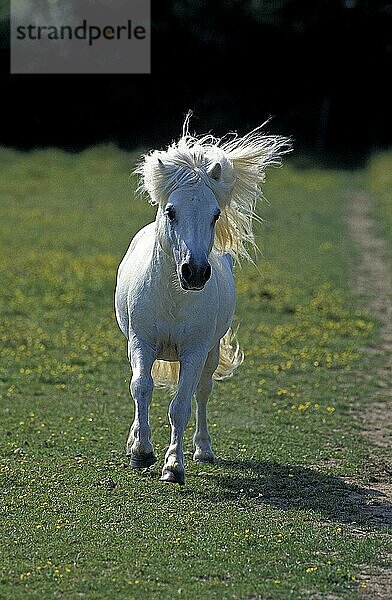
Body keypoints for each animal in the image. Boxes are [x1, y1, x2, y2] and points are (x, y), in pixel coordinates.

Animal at [115, 115, 290, 486]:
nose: (194, 272)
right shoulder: (141, 342)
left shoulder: (194, 352)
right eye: (171, 211)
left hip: (209, 354)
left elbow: (180, 405)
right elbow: (141, 387)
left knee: (203, 393)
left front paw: (173, 466)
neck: (173, 298)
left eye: (214, 215)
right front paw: (140, 451)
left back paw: (203, 450)